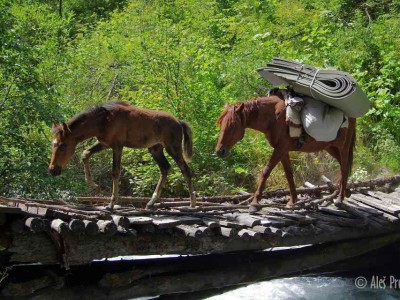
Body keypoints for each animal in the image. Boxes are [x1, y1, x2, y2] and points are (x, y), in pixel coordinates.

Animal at [49, 101, 196, 209]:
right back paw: (151, 202)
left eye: (63, 146)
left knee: (185, 170)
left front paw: (112, 203)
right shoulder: (104, 143)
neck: (103, 121)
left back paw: (192, 203)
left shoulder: (117, 146)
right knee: (165, 168)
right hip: (155, 149)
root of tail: (179, 122)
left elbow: (115, 171)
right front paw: (94, 185)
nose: (52, 170)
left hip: (173, 148)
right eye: (53, 144)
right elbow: (85, 154)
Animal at [216, 94, 356, 211]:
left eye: (233, 125)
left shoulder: (280, 149)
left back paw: (340, 198)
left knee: (344, 168)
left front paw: (255, 202)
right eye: (221, 124)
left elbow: (266, 171)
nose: (219, 151)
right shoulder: (283, 151)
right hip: (330, 147)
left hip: (343, 147)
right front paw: (292, 201)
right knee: (342, 166)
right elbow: (289, 174)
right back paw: (342, 191)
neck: (274, 117)